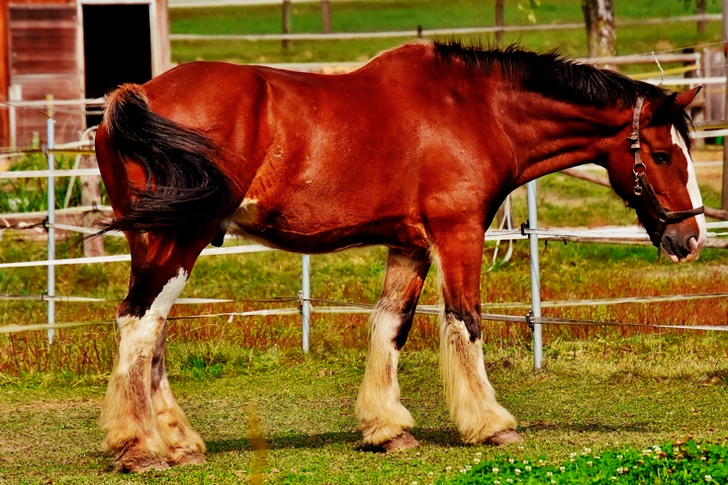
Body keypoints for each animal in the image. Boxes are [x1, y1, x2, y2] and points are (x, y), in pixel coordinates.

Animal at [94, 40, 705, 472]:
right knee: (140, 324)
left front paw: (387, 429)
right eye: (661, 154)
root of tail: (136, 96)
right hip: (182, 239)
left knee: (151, 332)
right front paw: (490, 424)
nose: (693, 235)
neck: (475, 109)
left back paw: (178, 442)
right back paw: (140, 447)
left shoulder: (409, 245)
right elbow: (466, 322)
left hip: (155, 241)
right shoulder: (458, 234)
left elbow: (390, 326)